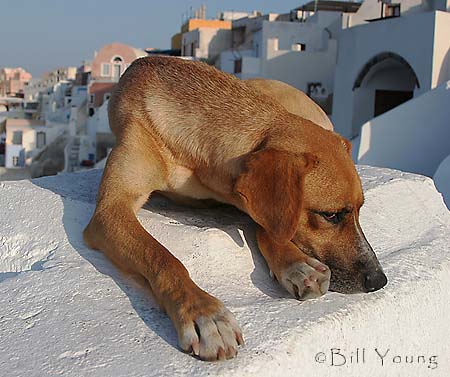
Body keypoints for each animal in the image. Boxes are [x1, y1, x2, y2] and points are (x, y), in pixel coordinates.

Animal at [84, 56, 386, 362]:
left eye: (359, 210)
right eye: (330, 215)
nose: (379, 280)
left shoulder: (240, 195)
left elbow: (268, 227)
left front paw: (295, 263)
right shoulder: (111, 210)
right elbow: (161, 255)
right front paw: (203, 312)